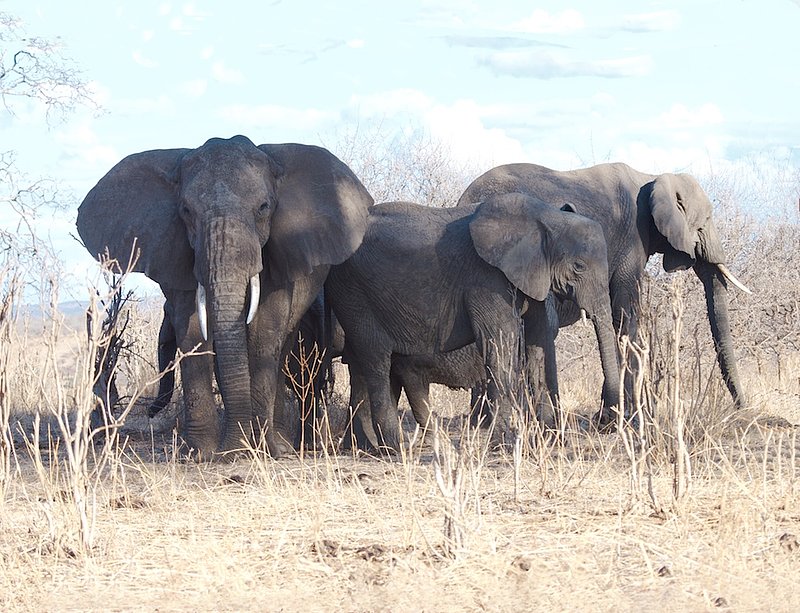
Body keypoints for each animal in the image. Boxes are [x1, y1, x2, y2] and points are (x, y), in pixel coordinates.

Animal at [77, 135, 373, 458]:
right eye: (186, 211)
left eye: (264, 207)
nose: (152, 412)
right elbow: (193, 330)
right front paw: (202, 454)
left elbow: (265, 326)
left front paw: (257, 449)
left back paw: (286, 446)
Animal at [325, 193, 621, 452]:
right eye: (579, 266)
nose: (605, 420)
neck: (545, 215)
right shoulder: (487, 279)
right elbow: (499, 344)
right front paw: (503, 446)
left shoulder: (532, 276)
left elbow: (538, 342)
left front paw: (547, 442)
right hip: (354, 294)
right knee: (376, 360)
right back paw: (395, 449)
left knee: (368, 366)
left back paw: (369, 449)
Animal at [457, 162, 751, 420]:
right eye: (706, 222)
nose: (742, 408)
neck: (652, 177)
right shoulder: (633, 239)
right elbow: (624, 313)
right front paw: (625, 415)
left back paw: (485, 420)